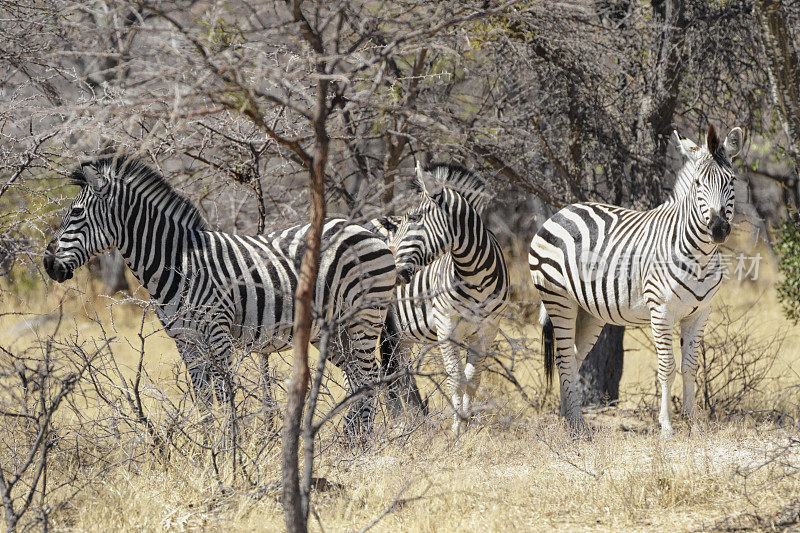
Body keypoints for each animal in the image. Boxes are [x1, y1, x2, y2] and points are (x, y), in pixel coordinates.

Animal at [42, 155, 398, 436]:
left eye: (76, 214)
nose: (48, 265)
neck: (179, 262)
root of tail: (364, 227)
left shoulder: (218, 333)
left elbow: (226, 397)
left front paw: (233, 455)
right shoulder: (185, 341)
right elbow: (203, 402)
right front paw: (210, 455)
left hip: (364, 319)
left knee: (369, 377)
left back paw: (361, 444)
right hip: (335, 330)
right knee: (357, 378)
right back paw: (349, 439)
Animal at [372, 162, 510, 432]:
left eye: (415, 219)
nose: (394, 272)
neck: (474, 274)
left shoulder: (488, 329)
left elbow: (472, 379)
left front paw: (468, 424)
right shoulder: (446, 327)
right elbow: (455, 379)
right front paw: (456, 430)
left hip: (402, 333)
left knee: (402, 374)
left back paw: (414, 420)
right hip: (384, 325)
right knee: (388, 374)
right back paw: (398, 423)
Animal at [532, 125, 744, 436]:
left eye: (731, 181)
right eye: (697, 184)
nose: (718, 229)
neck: (700, 257)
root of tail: (563, 210)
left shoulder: (700, 313)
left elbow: (690, 366)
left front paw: (693, 423)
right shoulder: (661, 311)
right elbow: (667, 366)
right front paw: (666, 426)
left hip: (589, 311)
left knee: (572, 359)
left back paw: (570, 420)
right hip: (558, 300)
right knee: (563, 357)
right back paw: (577, 425)